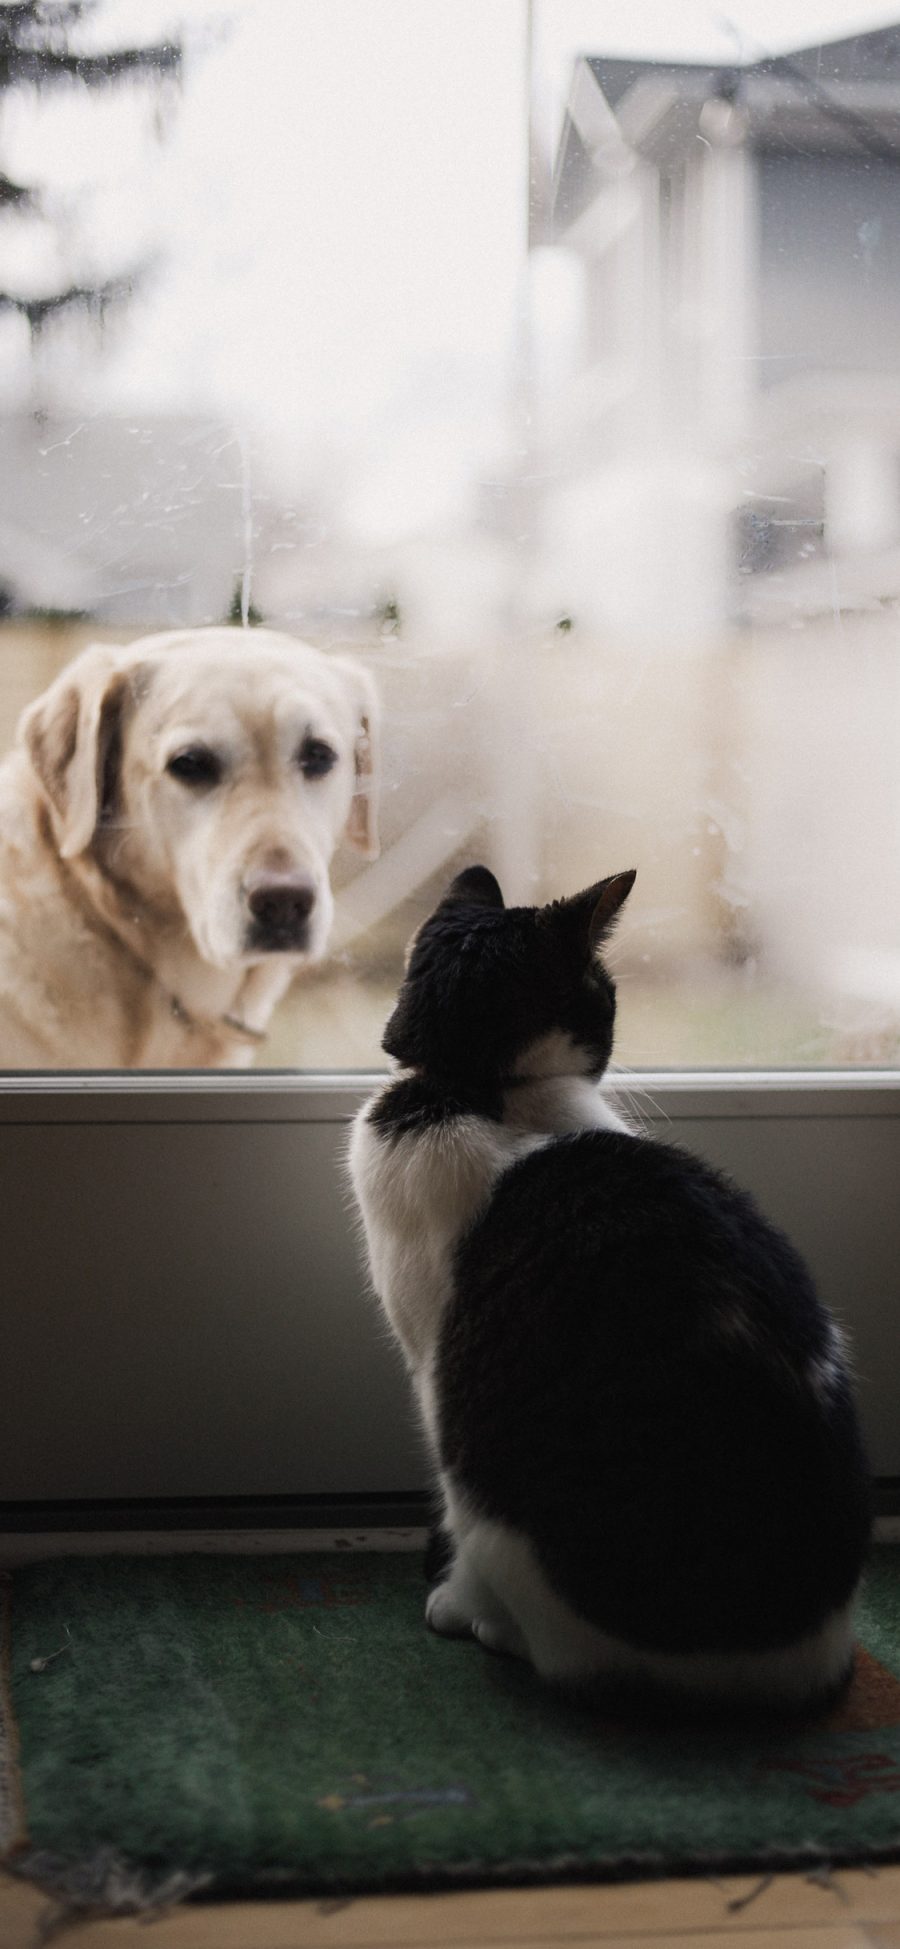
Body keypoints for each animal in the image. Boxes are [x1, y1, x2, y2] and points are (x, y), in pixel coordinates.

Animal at [350, 869, 872, 1707]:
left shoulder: (430, 1366)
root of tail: (800, 1663)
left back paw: (494, 1626)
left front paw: (453, 1602)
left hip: (490, 1485)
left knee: (556, 1642)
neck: (480, 1087)